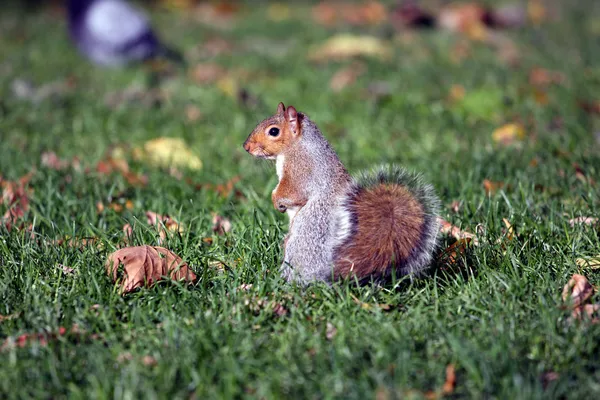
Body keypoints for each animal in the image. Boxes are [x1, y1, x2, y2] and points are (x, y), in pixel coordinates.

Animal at [244, 102, 440, 284]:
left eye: (274, 131)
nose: (246, 147)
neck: (298, 144)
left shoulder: (300, 171)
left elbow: (293, 191)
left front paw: (276, 200)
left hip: (304, 236)